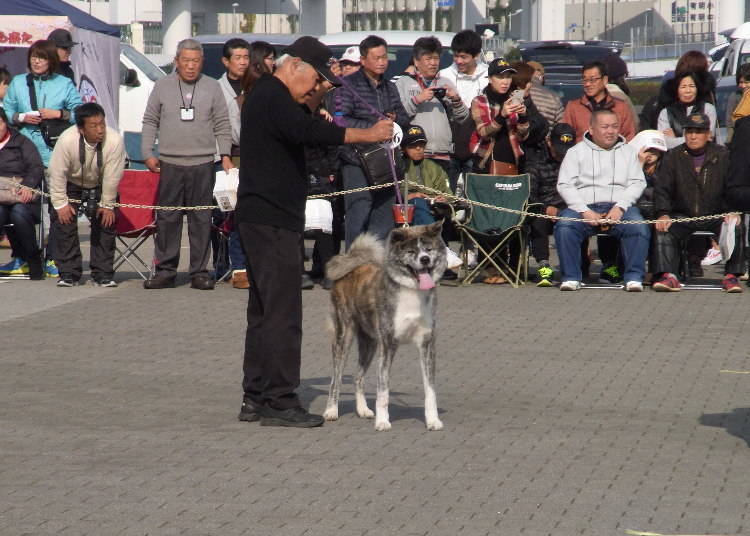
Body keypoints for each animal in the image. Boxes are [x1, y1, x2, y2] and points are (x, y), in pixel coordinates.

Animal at [324, 222, 446, 432]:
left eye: (429, 249)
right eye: (411, 251)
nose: (425, 259)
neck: (411, 291)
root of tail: (351, 264)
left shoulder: (427, 344)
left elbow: (430, 390)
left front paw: (432, 421)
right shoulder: (388, 345)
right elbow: (383, 390)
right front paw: (383, 422)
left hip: (370, 344)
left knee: (358, 377)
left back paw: (363, 410)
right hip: (344, 337)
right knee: (336, 378)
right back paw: (331, 411)